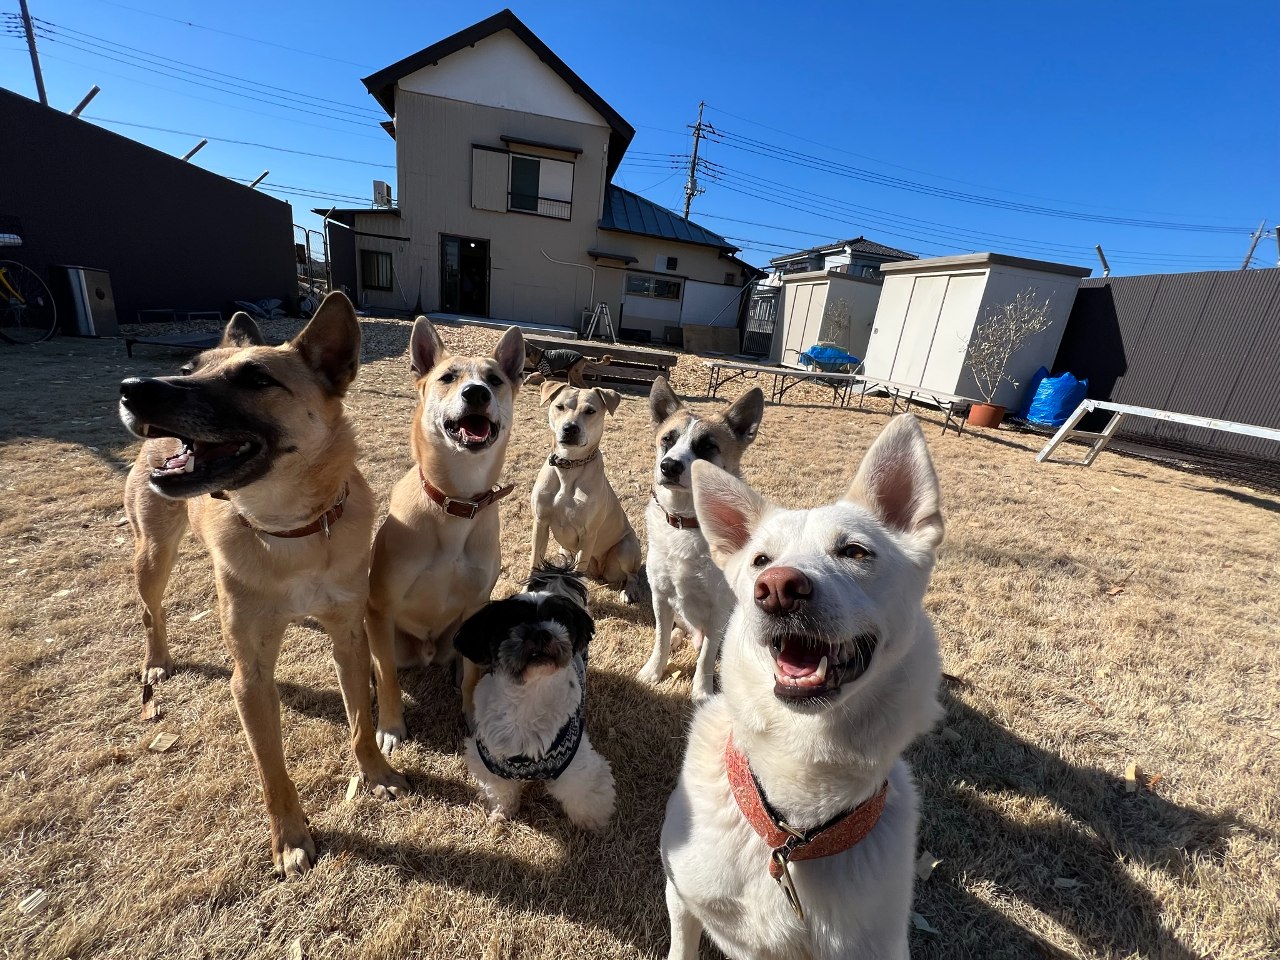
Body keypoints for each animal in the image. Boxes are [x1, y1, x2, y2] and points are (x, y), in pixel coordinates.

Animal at [118, 291, 407, 878]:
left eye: (255, 378)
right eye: (190, 369)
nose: (134, 388)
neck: (290, 531)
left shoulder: (349, 637)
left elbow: (360, 721)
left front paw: (376, 773)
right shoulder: (249, 677)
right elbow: (272, 770)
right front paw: (290, 838)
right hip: (153, 556)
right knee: (150, 611)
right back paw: (156, 660)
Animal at [365, 317, 524, 751]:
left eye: (495, 380)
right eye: (448, 377)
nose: (476, 392)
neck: (457, 502)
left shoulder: (474, 606)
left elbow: (470, 678)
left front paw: (472, 716)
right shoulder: (381, 607)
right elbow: (387, 677)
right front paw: (390, 727)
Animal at [454, 563, 616, 830]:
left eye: (558, 619)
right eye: (512, 623)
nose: (540, 633)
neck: (528, 699)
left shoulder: (576, 762)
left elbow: (584, 793)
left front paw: (594, 823)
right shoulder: (489, 762)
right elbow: (502, 790)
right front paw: (502, 812)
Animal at [530, 381, 643, 603]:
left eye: (590, 411)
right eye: (559, 407)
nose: (570, 428)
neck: (569, 466)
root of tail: (599, 572)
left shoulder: (588, 533)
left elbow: (576, 575)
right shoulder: (540, 523)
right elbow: (535, 563)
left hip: (626, 547)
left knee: (632, 575)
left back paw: (629, 591)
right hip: (564, 551)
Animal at [637, 377, 764, 700]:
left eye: (707, 446)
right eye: (667, 439)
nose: (669, 466)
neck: (686, 524)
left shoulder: (720, 610)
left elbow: (706, 657)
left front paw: (702, 692)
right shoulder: (660, 596)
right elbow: (660, 639)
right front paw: (653, 672)